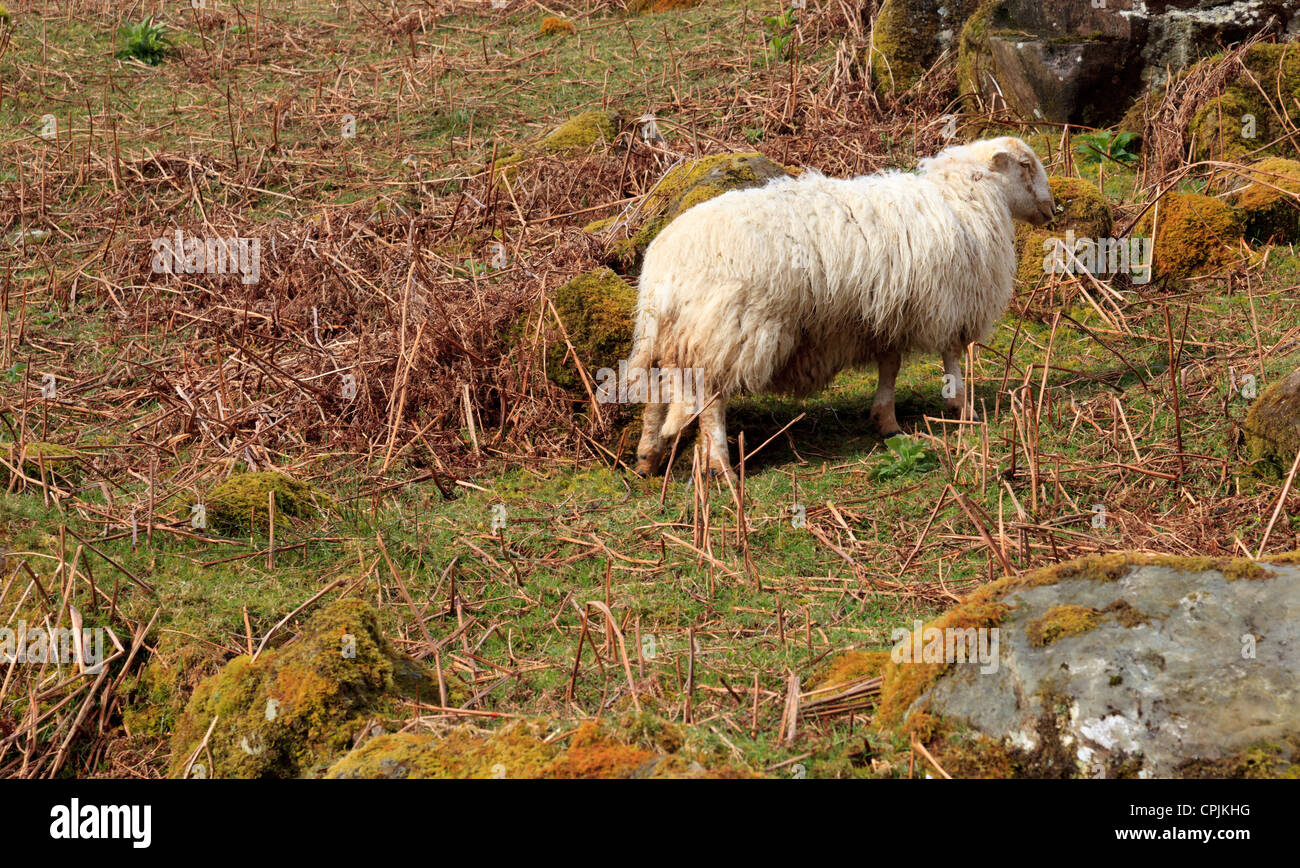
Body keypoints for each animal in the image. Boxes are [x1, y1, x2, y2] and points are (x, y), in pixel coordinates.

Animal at [626, 133, 1055, 480]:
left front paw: (886, 421)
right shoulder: (951, 303)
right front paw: (962, 408)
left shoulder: (889, 314)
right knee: (711, 402)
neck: (966, 198)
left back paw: (648, 458)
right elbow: (951, 357)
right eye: (1025, 165)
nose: (1054, 211)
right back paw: (720, 467)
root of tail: (664, 265)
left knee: (655, 394)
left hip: (667, 335)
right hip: (729, 329)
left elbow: (890, 366)